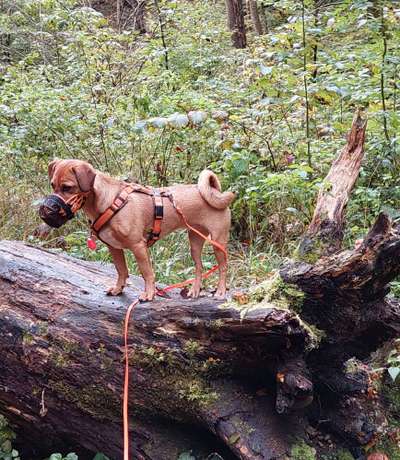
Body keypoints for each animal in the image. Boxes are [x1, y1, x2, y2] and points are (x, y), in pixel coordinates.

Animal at [45, 159, 234, 302]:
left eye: (68, 187)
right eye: (52, 185)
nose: (48, 208)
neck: (109, 201)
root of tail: (214, 191)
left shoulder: (138, 247)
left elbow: (147, 273)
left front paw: (149, 294)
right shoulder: (114, 248)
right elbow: (122, 271)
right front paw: (118, 288)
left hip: (218, 242)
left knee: (223, 267)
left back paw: (220, 291)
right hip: (195, 242)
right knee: (199, 267)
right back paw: (194, 290)